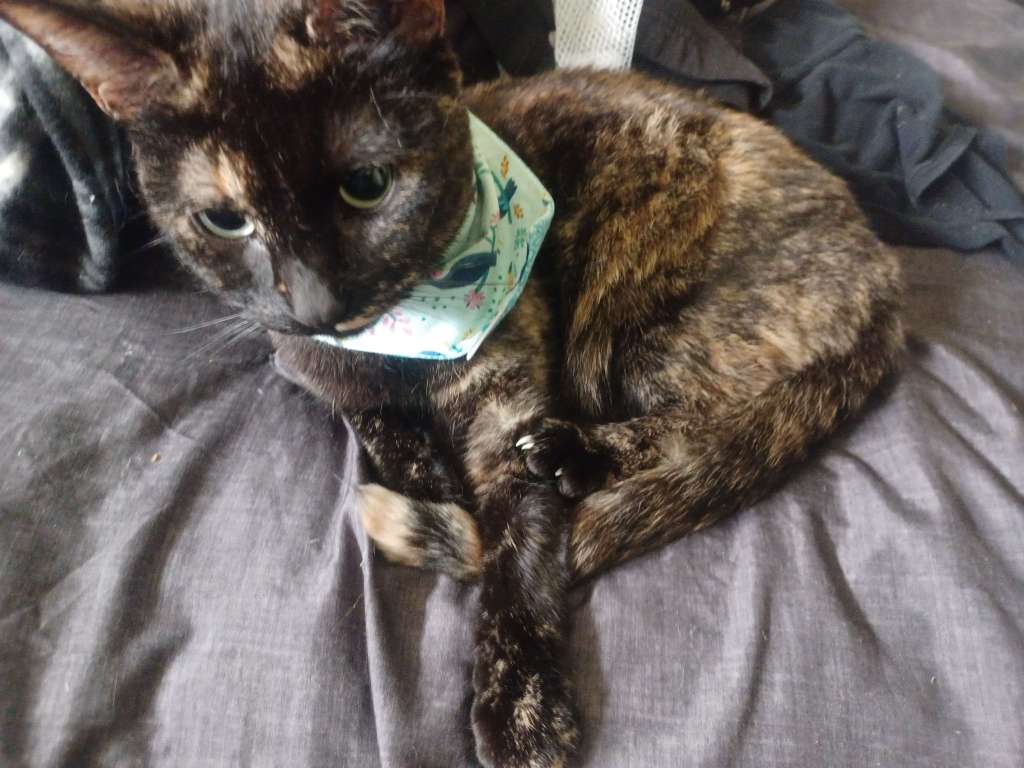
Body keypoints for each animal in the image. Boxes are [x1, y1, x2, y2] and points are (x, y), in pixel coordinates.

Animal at [0, 1, 904, 766]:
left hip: (638, 319)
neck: (403, 338)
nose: (316, 302)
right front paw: (426, 471)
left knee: (708, 422)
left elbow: (521, 554)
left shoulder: (507, 406)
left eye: (367, 184)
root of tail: (886, 276)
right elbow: (365, 412)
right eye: (225, 220)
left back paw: (572, 452)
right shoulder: (296, 355)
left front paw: (523, 707)